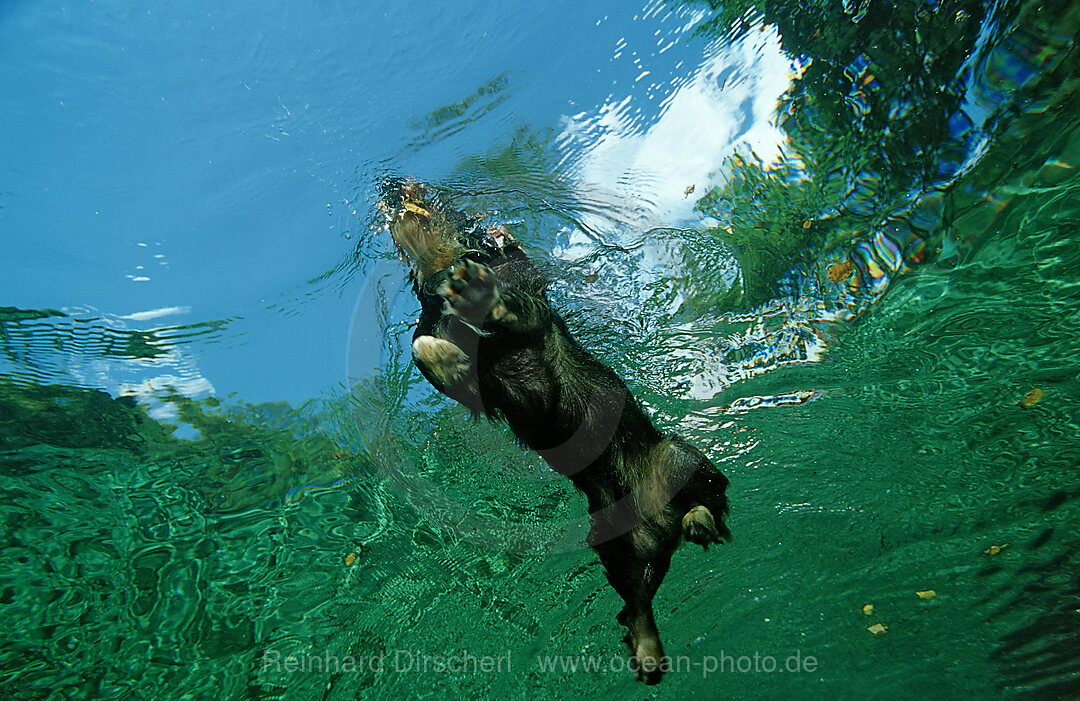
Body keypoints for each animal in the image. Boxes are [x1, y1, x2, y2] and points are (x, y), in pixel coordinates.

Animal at [382, 178, 734, 682]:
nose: (393, 189)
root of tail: (659, 522)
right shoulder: (476, 383)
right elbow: (426, 351)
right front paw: (446, 354)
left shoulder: (530, 308)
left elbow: (512, 305)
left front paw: (477, 291)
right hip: (612, 540)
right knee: (637, 602)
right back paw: (647, 648)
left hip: (677, 458)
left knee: (712, 501)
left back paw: (699, 520)